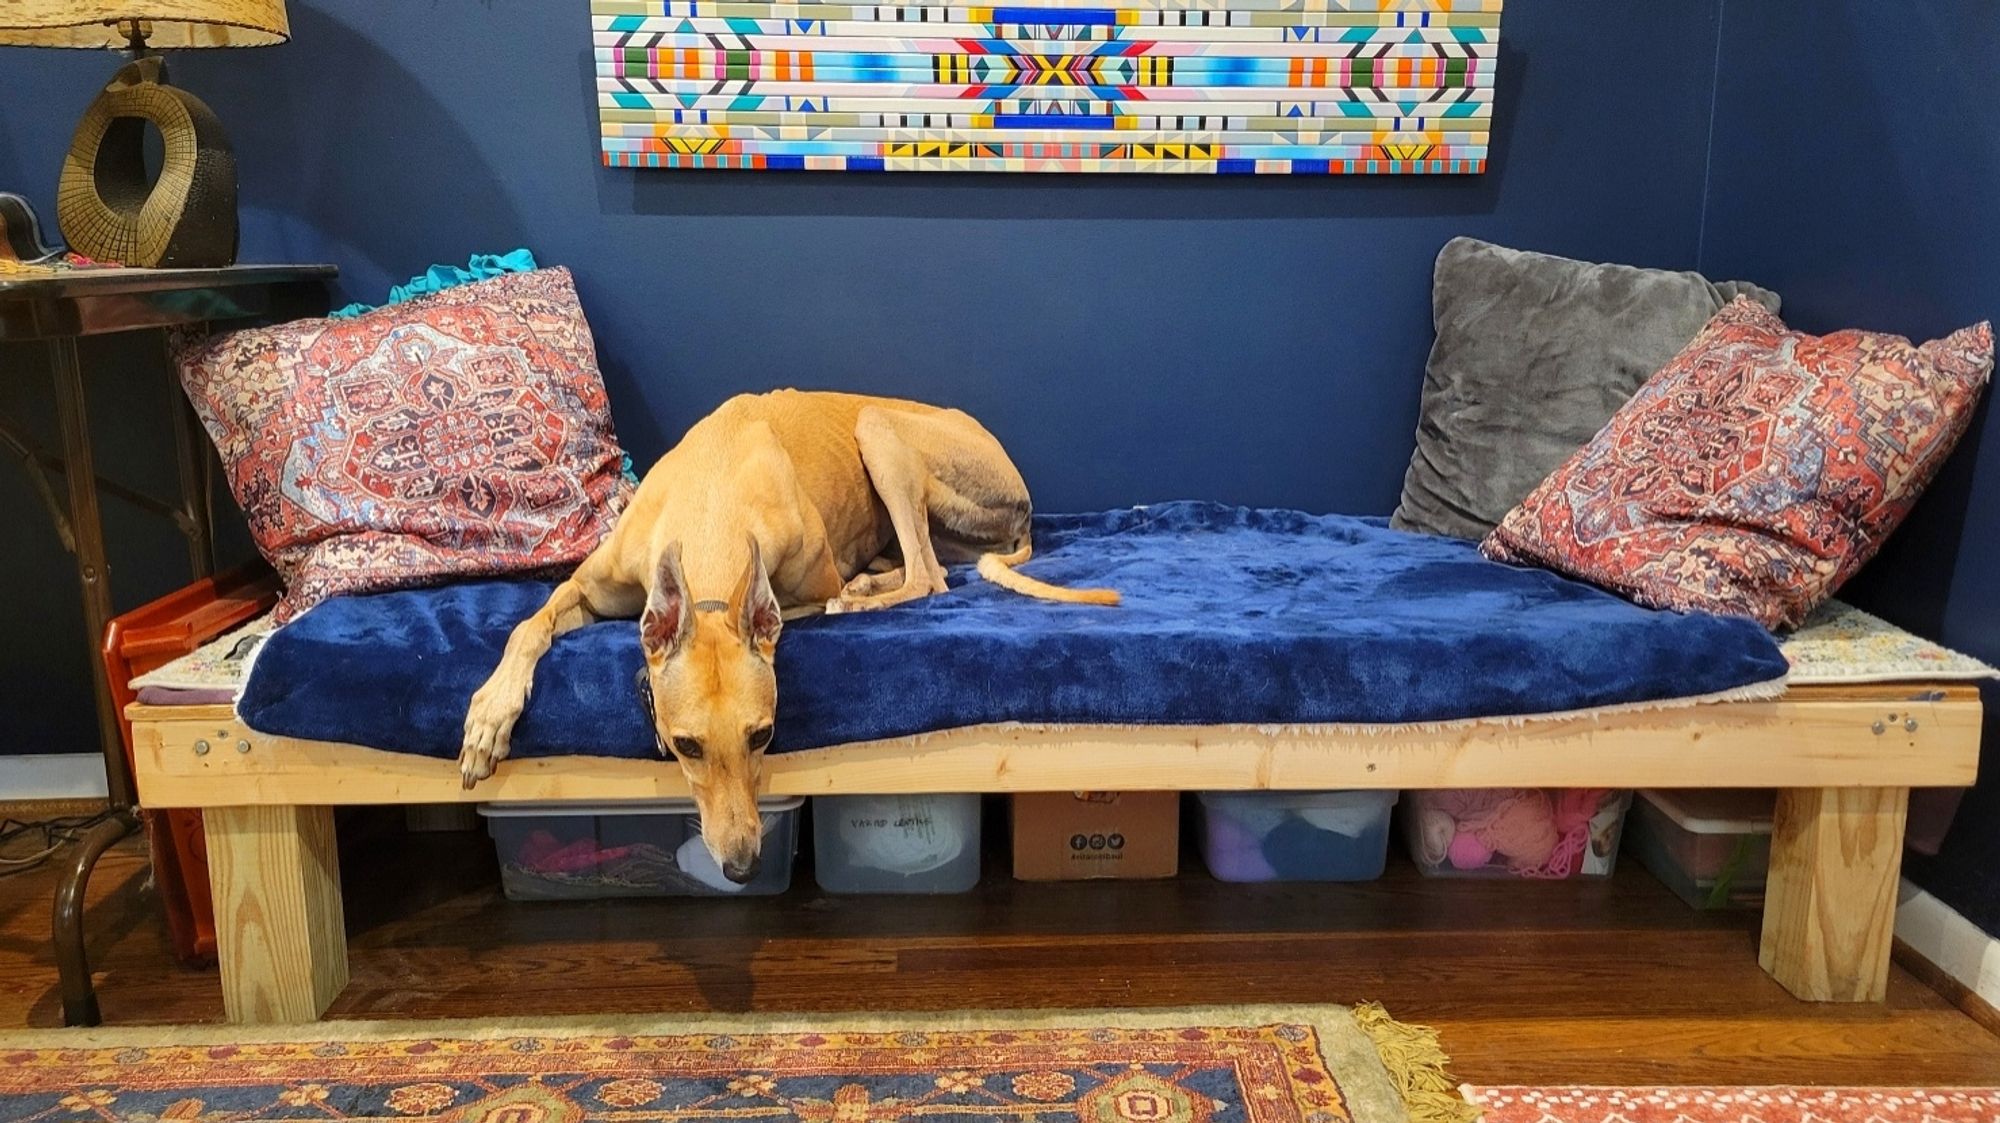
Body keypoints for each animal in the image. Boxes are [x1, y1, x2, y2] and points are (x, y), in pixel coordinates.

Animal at [458, 389, 1120, 879]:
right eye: (684, 746)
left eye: (763, 736)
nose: (742, 867)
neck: (712, 497)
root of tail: (1025, 502)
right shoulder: (590, 587)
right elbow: (528, 625)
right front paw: (488, 718)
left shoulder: (798, 583)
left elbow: (799, 606)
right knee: (928, 566)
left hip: (880, 429)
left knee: (926, 578)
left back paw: (860, 594)